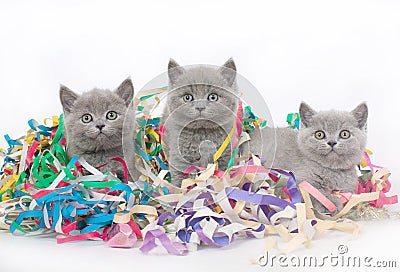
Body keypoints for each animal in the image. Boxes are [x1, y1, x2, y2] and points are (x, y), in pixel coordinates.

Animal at [162, 57, 241, 185]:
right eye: (187, 97)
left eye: (213, 97)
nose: (200, 107)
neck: (203, 134)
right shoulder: (179, 159)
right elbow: (181, 180)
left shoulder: (225, 156)